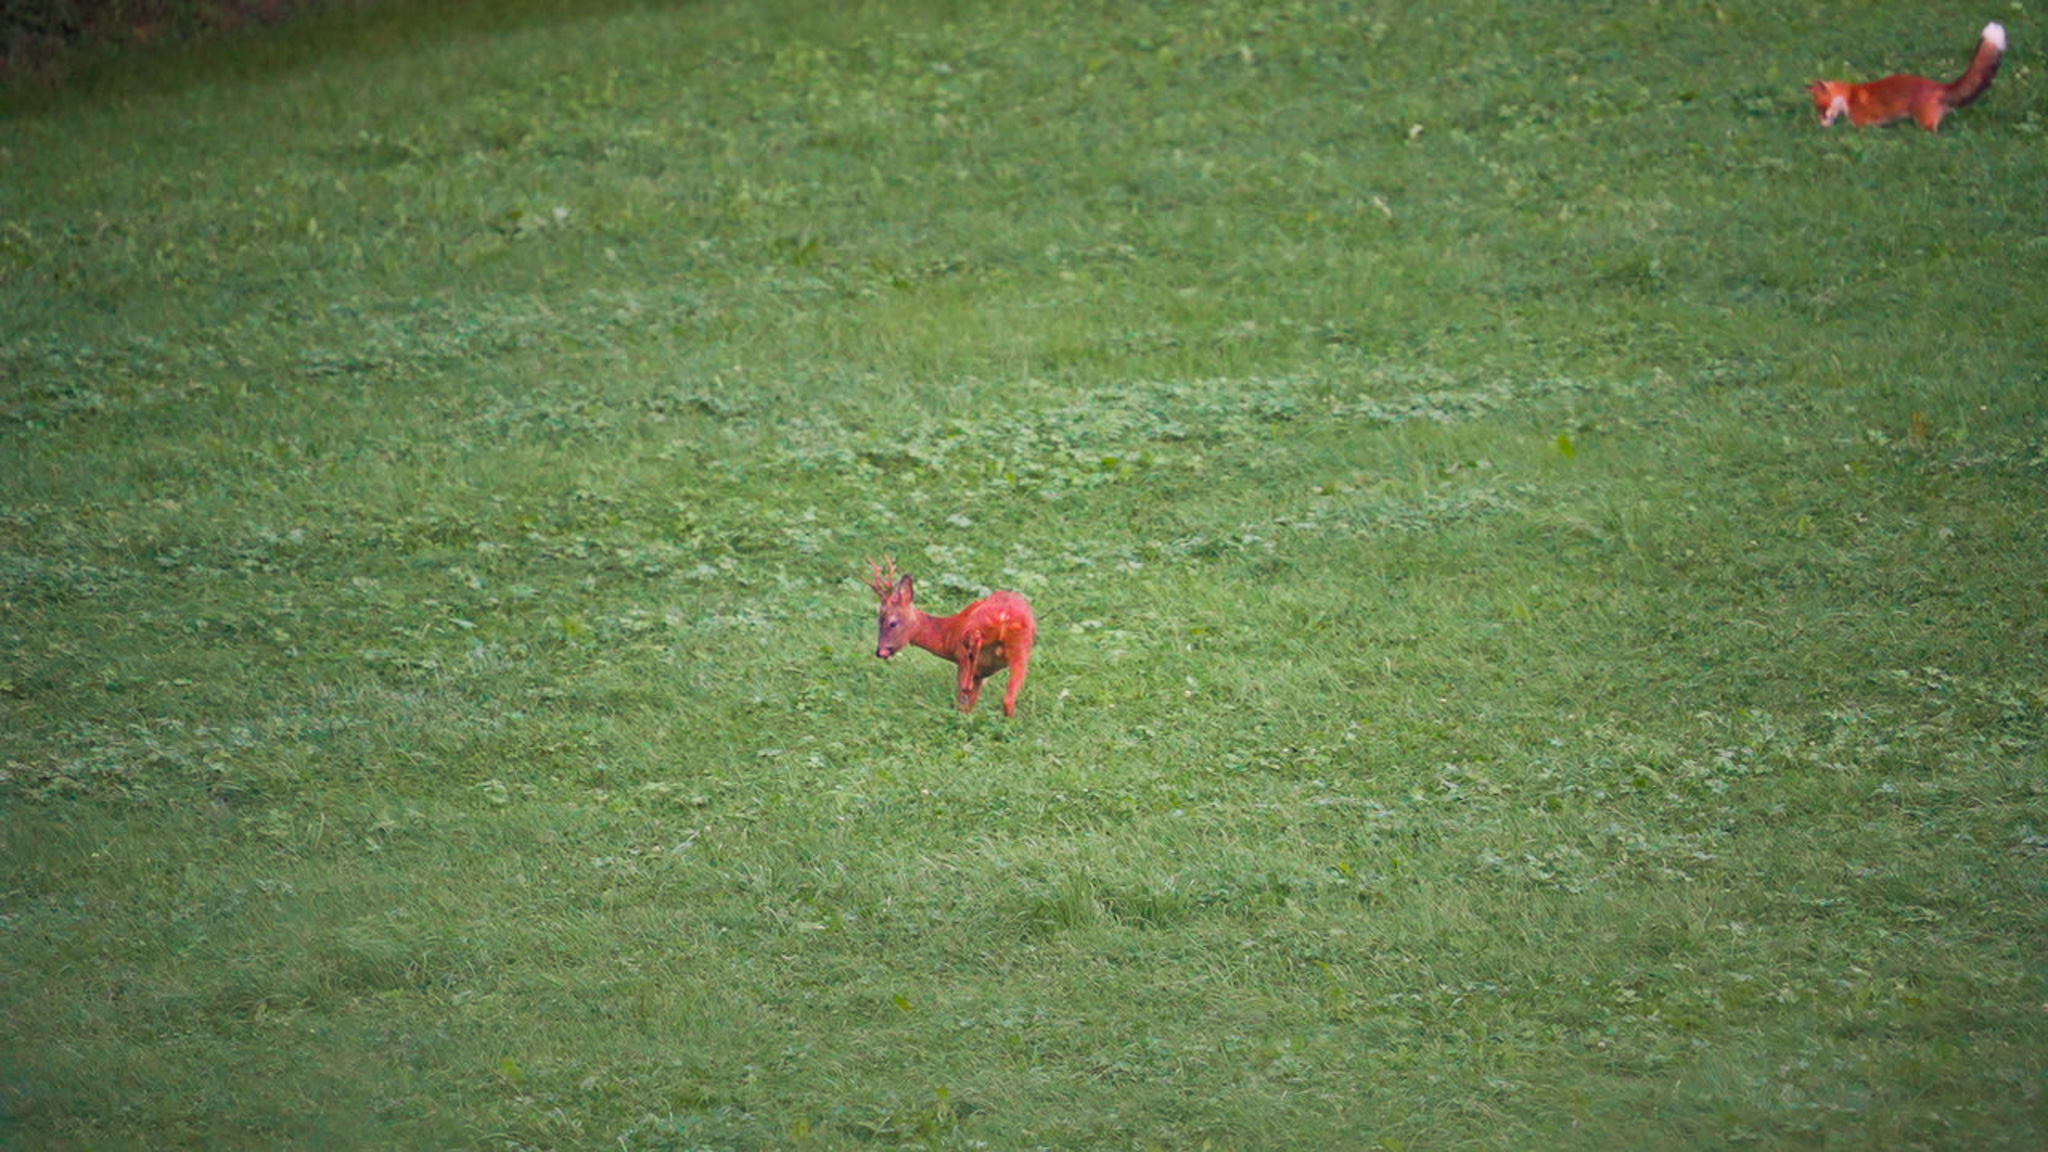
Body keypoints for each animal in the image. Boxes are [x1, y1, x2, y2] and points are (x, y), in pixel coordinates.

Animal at [863, 557, 1036, 717]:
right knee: (1008, 698)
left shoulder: (962, 659)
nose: (880, 651)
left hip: (974, 641)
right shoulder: (980, 673)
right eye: (878, 620)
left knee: (968, 680)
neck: (949, 634)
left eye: (892, 623)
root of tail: (1004, 616)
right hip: (1022, 649)